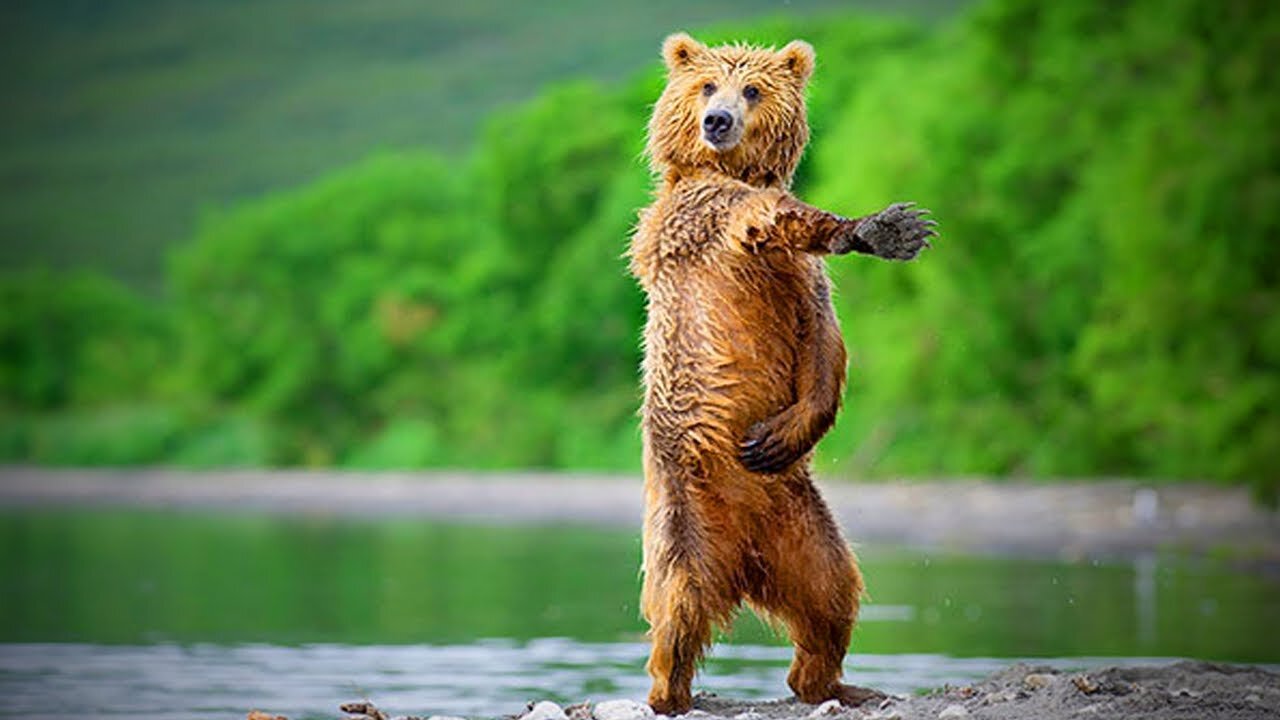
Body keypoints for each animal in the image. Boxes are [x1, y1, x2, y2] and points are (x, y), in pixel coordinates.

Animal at [627, 30, 936, 707]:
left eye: (751, 89)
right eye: (706, 85)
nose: (717, 121)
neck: (726, 168)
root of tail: (744, 562)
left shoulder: (802, 287)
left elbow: (824, 345)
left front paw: (778, 435)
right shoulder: (709, 219)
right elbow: (767, 218)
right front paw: (877, 228)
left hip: (801, 520)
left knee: (832, 592)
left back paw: (828, 682)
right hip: (684, 513)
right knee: (677, 601)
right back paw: (671, 691)